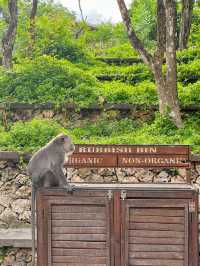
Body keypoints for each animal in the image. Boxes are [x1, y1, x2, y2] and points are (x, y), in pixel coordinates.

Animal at [27, 133, 75, 266]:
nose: (73, 146)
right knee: (49, 171)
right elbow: (56, 167)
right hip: (42, 180)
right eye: (71, 141)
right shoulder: (58, 154)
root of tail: (33, 182)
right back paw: (53, 186)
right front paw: (66, 185)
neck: (58, 144)